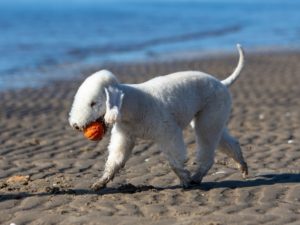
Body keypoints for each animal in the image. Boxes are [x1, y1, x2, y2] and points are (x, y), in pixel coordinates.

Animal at [69, 44, 247, 190]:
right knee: (229, 143)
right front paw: (100, 183)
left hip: (210, 117)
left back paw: (196, 178)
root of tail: (222, 83)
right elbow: (115, 160)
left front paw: (185, 179)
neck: (132, 105)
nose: (76, 125)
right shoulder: (125, 135)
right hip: (212, 119)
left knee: (207, 151)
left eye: (93, 103)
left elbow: (175, 161)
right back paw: (242, 166)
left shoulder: (169, 133)